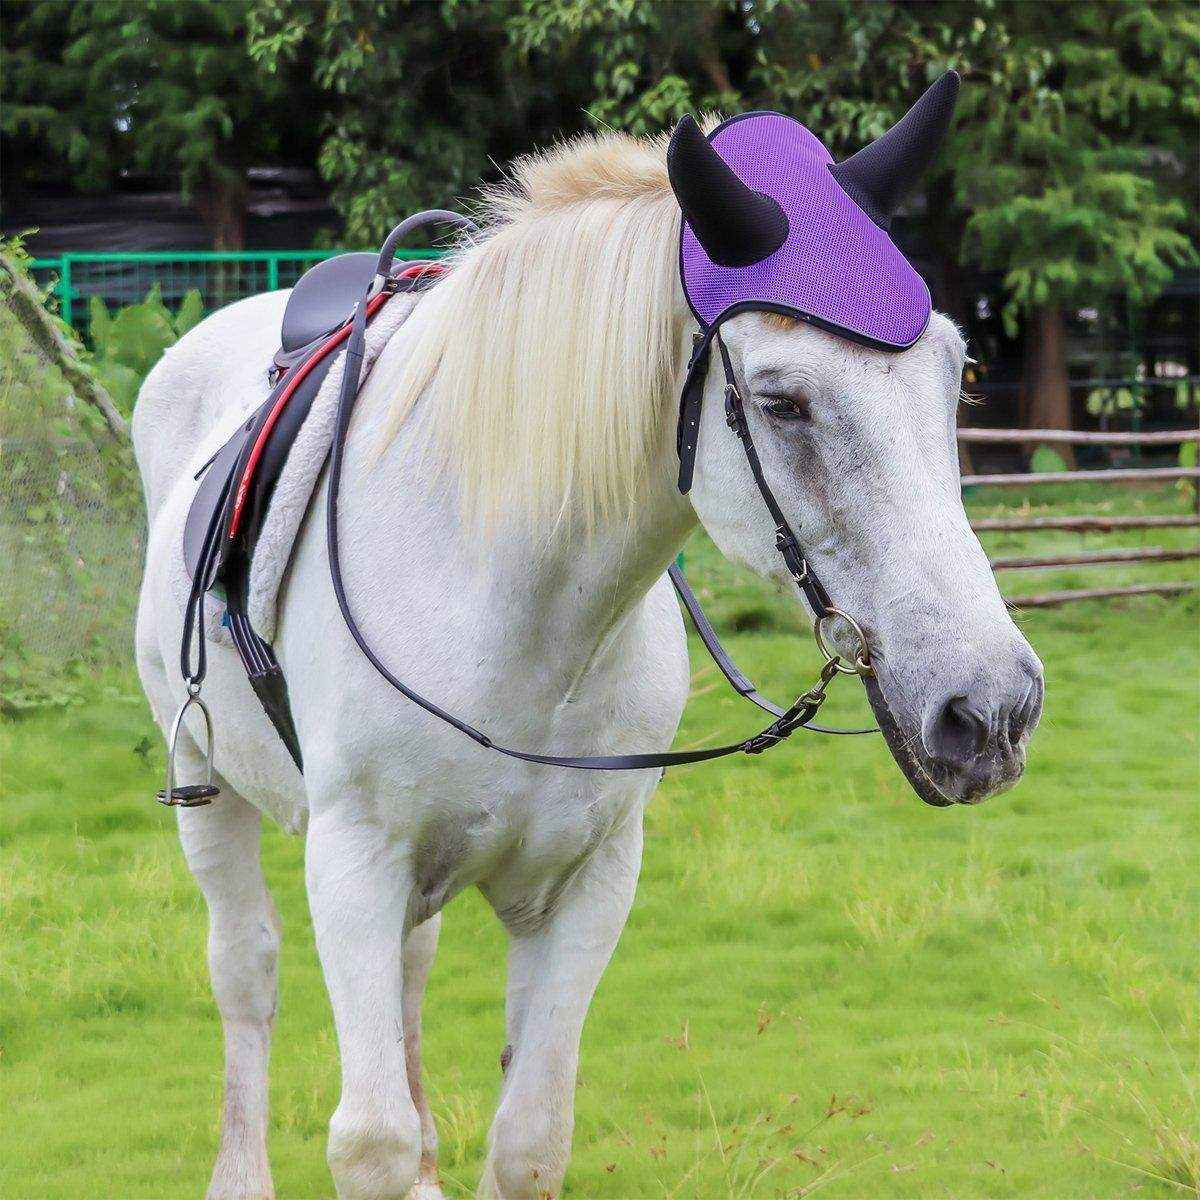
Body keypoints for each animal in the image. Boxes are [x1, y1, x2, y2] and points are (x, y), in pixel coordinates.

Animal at [132, 105, 1043, 1200]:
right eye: (781, 400)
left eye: (959, 375)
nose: (989, 710)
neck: (513, 613)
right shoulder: (353, 864)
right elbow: (371, 1140)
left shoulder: (588, 884)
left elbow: (530, 1140)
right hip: (205, 781)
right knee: (246, 969)